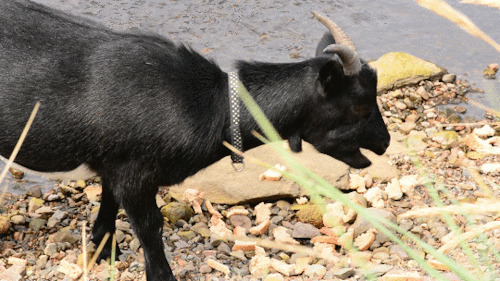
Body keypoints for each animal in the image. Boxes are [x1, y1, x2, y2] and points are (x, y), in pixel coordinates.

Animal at [0, 1, 390, 278]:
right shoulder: (135, 173)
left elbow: (108, 210)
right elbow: (150, 227)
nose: (385, 143)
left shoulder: (114, 164)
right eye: (359, 104)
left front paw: (102, 250)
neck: (211, 104)